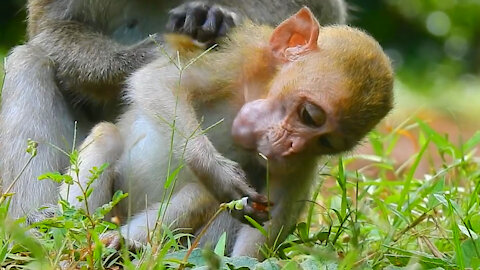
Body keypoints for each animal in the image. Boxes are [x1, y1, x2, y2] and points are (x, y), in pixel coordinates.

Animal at [62, 7, 394, 258]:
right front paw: (215, 169)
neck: (256, 90)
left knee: (200, 196)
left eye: (324, 141)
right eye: (310, 116)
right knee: (107, 135)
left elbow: (255, 243)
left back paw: (126, 244)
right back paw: (84, 237)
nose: (289, 146)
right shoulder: (236, 61)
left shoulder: (301, 165)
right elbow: (160, 81)